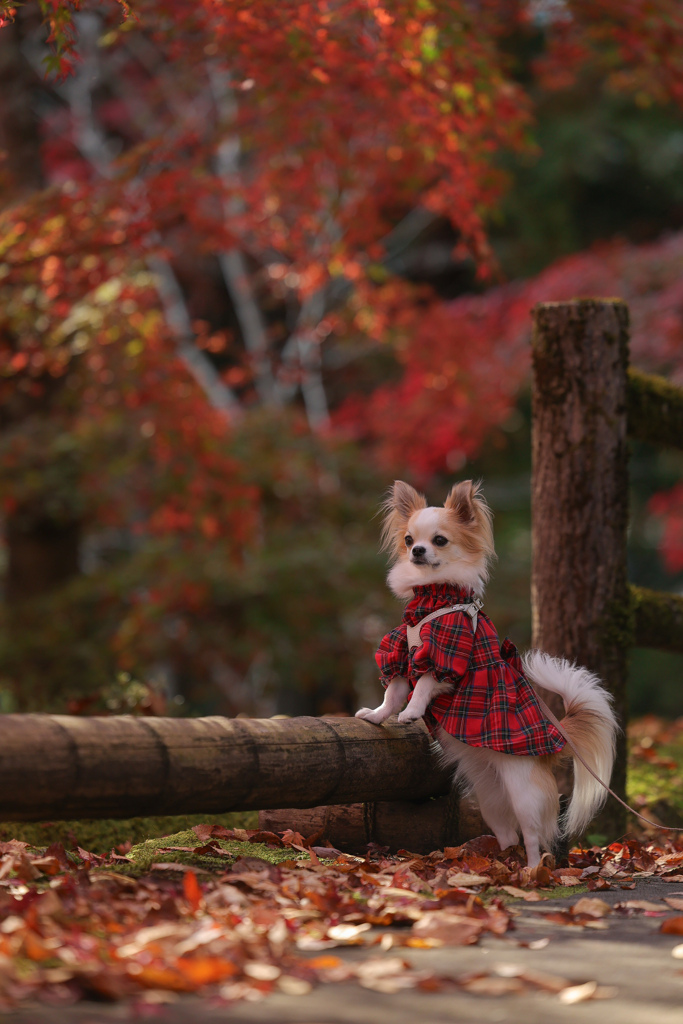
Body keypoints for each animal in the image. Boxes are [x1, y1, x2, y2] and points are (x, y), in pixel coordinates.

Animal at [358, 483, 618, 868]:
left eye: (439, 540)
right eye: (408, 540)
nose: (418, 551)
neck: (434, 598)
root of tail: (557, 738)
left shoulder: (447, 655)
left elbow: (423, 684)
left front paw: (412, 712)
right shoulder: (402, 652)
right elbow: (393, 693)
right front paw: (378, 716)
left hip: (524, 795)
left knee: (533, 837)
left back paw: (530, 872)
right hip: (490, 798)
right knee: (508, 834)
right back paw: (497, 866)